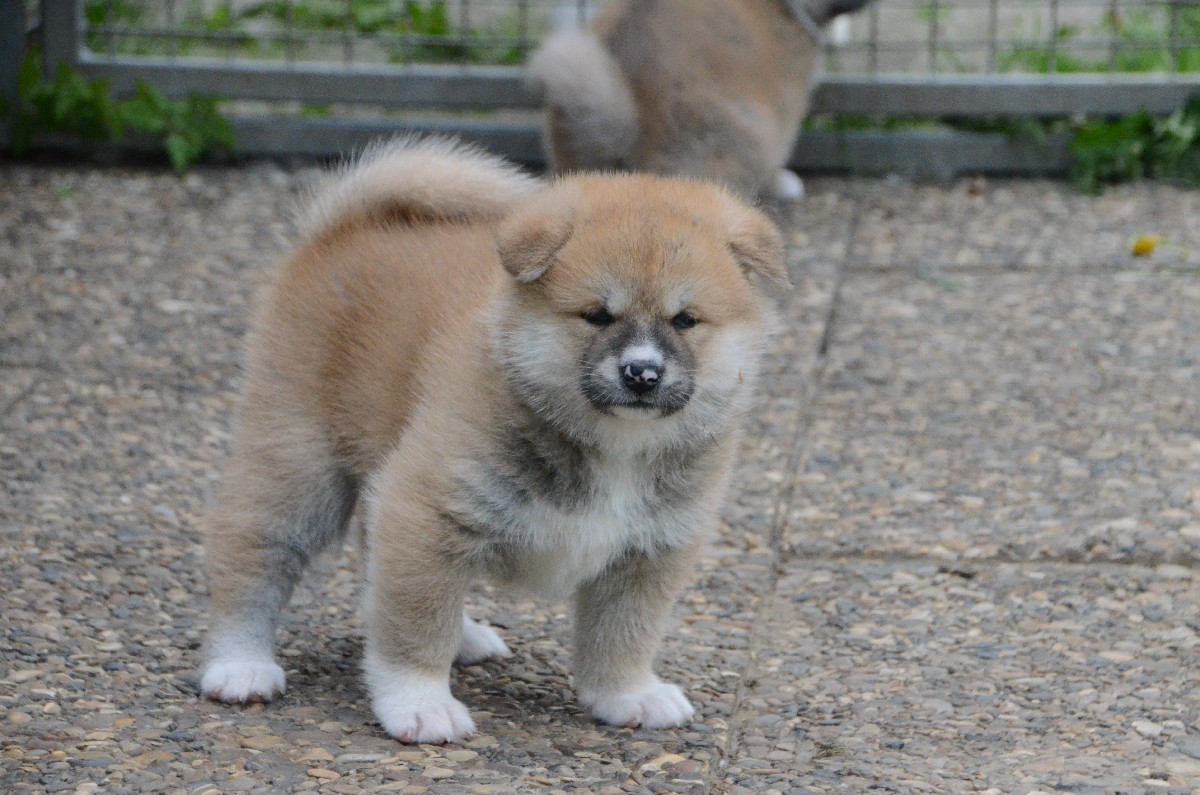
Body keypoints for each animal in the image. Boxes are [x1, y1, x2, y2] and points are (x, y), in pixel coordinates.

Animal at [198, 136, 787, 743]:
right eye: (597, 316)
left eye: (685, 320)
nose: (642, 373)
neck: (612, 446)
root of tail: (342, 229)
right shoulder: (427, 510)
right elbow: (416, 625)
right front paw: (420, 702)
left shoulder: (651, 551)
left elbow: (623, 634)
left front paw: (627, 694)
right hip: (299, 466)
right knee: (253, 559)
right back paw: (240, 664)